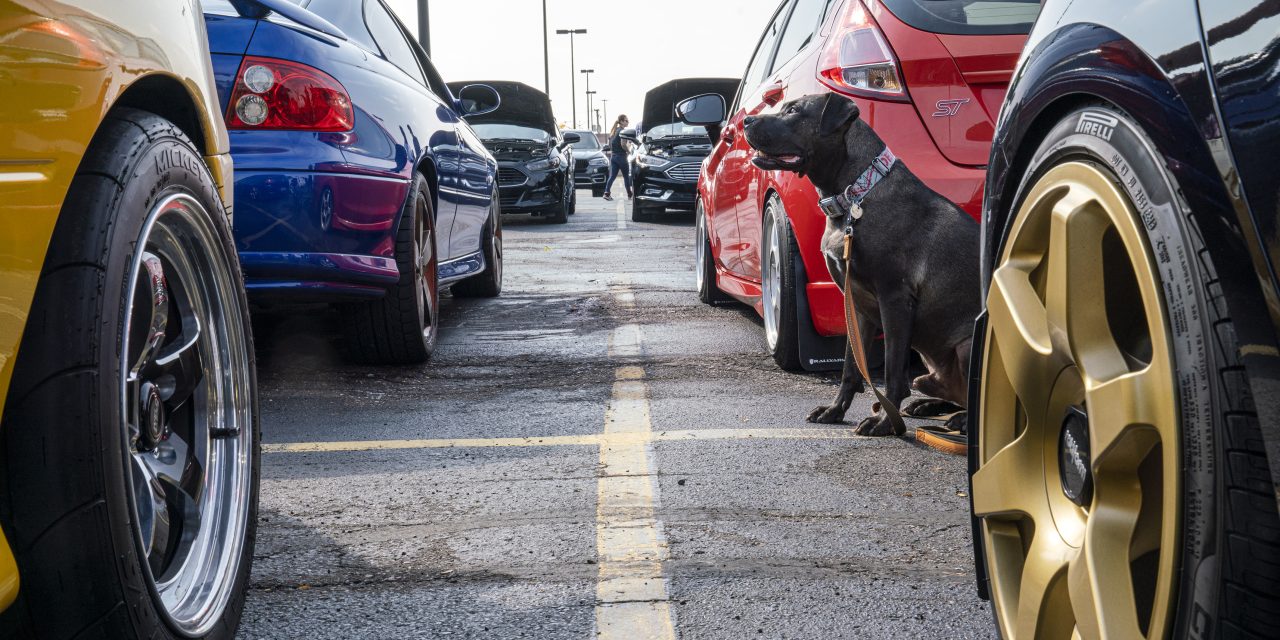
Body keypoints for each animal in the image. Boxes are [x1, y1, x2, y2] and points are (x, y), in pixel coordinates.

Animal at [747, 92, 972, 437]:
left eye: (794, 111)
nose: (746, 120)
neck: (855, 193)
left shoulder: (894, 301)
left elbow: (893, 372)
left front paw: (885, 422)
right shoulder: (857, 307)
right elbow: (851, 367)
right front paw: (836, 410)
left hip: (968, 344)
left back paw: (960, 420)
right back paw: (929, 405)